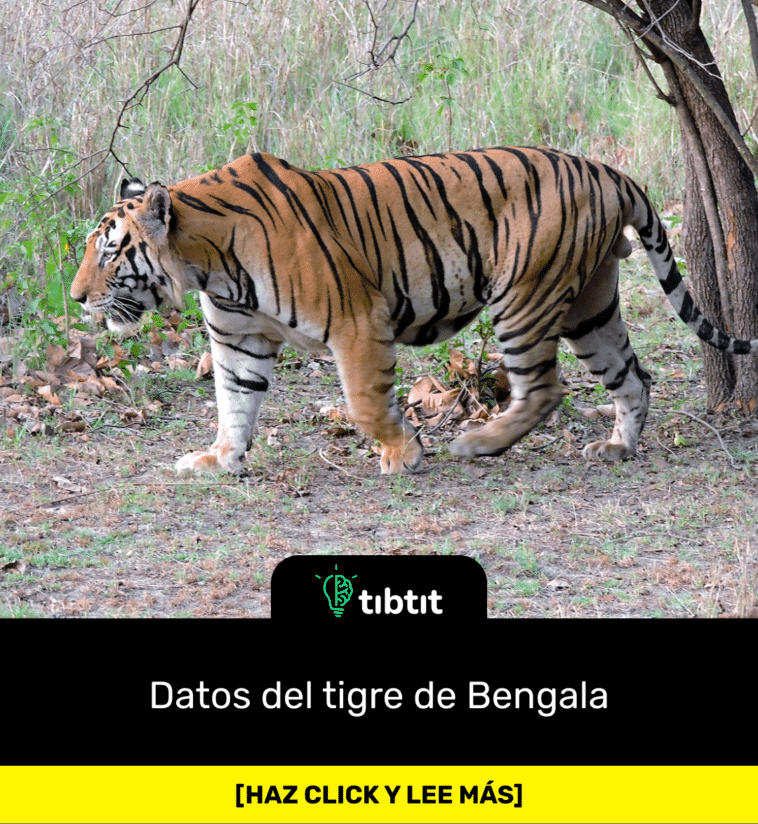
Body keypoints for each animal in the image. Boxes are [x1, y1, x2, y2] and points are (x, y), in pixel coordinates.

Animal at [70, 147, 758, 476]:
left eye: (108, 251)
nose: (75, 298)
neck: (209, 264)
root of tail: (609, 171)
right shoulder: (239, 340)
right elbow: (234, 405)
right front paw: (219, 460)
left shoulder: (356, 323)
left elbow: (365, 403)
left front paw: (405, 453)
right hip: (590, 306)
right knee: (633, 376)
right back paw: (617, 447)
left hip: (523, 297)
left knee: (544, 389)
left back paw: (478, 443)